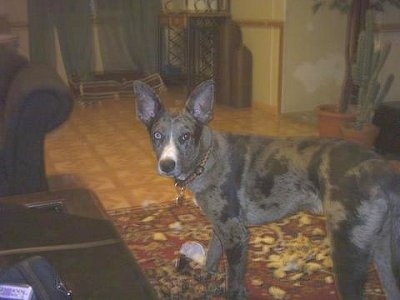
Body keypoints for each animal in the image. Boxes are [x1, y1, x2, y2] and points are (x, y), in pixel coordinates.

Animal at [134, 78, 400, 298]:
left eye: (186, 136)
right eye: (157, 135)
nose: (167, 165)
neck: (206, 159)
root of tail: (382, 170)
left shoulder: (236, 235)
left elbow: (234, 282)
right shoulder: (220, 228)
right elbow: (211, 259)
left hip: (348, 250)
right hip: (383, 252)